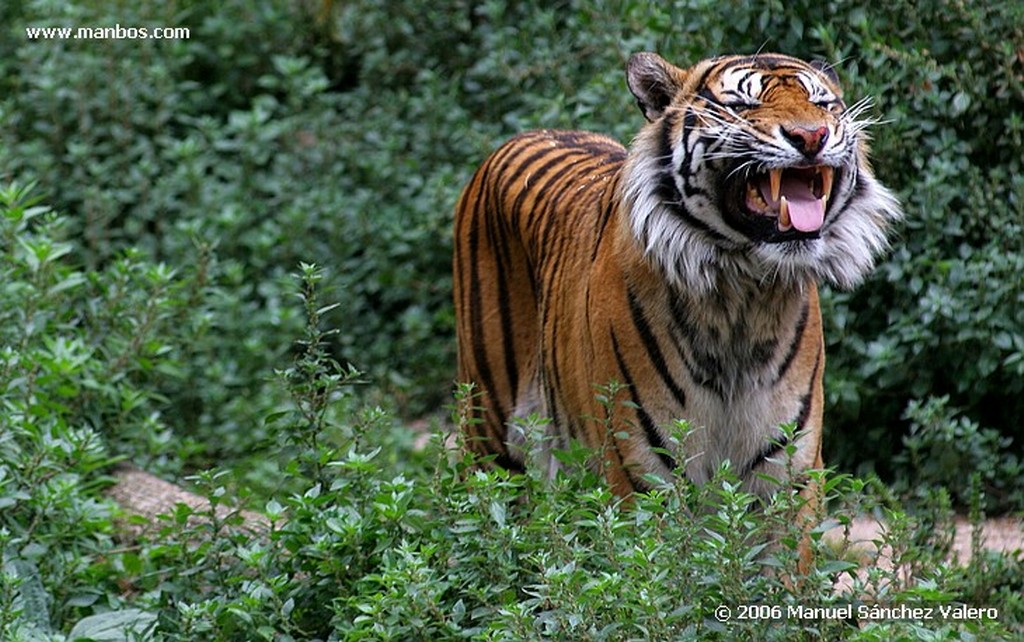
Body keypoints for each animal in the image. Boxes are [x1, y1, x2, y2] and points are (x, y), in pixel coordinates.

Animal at [452, 51, 901, 528]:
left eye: (823, 104)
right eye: (742, 105)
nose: (812, 135)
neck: (743, 296)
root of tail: (531, 133)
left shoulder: (788, 474)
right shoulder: (641, 475)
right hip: (489, 435)